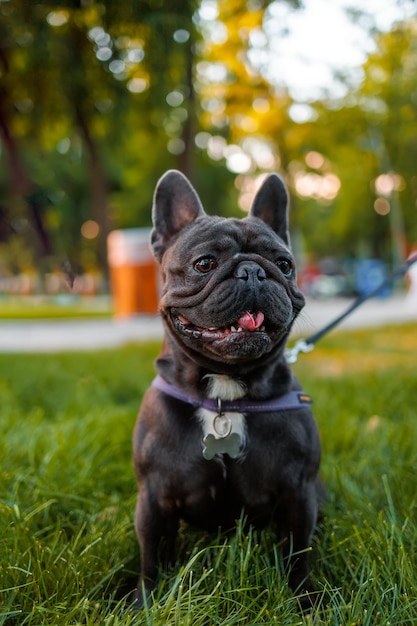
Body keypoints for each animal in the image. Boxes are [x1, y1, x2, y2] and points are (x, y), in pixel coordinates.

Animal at [132, 171, 320, 608]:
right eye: (205, 263)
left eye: (284, 265)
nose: (253, 271)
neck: (226, 392)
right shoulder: (153, 498)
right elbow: (150, 555)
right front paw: (143, 602)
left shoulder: (299, 494)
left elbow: (298, 552)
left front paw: (304, 602)